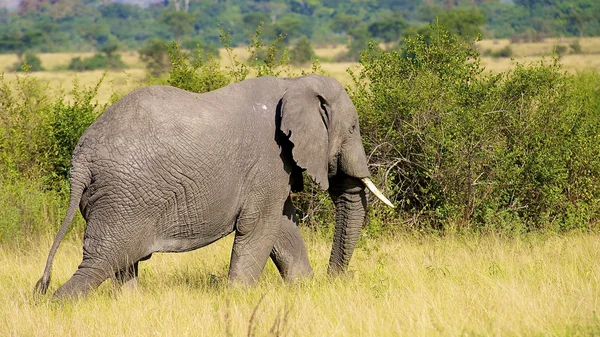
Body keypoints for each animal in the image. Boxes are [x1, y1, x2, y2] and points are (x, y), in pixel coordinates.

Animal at [36, 75, 394, 298]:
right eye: (353, 128)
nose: (334, 278)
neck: (295, 83)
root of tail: (80, 160)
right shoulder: (269, 159)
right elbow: (259, 226)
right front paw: (237, 297)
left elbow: (282, 226)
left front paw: (303, 289)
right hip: (124, 197)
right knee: (102, 262)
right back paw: (56, 305)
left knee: (122, 263)